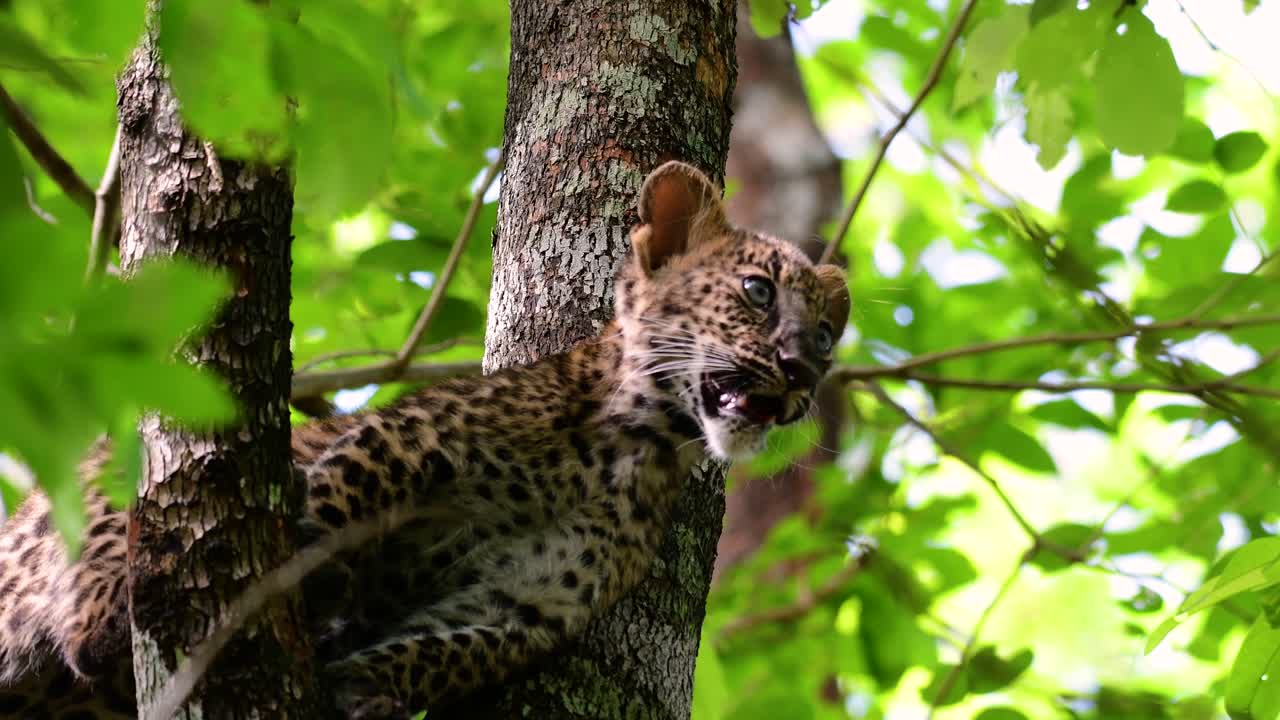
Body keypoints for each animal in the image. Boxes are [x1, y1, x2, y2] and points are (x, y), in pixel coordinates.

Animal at [0, 161, 850, 719]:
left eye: (826, 337)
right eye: (757, 292)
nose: (803, 370)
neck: (639, 445)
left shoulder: (527, 604)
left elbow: (448, 653)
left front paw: (367, 685)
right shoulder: (412, 435)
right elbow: (343, 493)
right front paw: (316, 569)